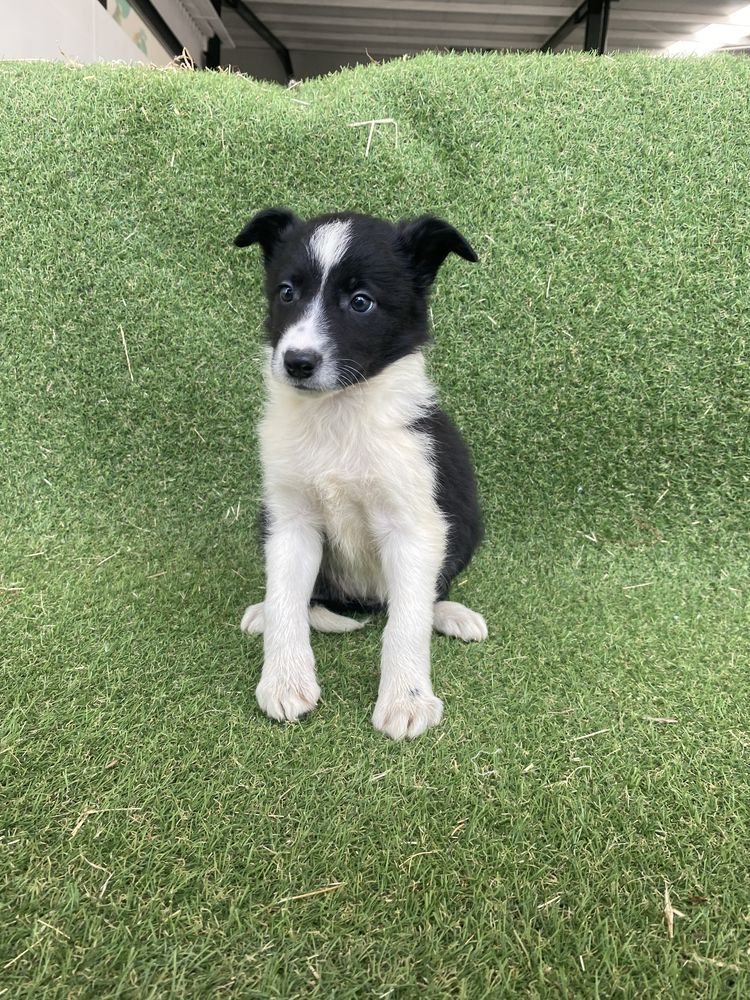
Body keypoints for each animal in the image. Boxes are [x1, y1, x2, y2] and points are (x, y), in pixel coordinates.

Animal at [238, 209, 490, 744]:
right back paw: (262, 612)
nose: (297, 362)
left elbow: (406, 623)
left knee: (425, 596)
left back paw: (451, 614)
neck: (338, 415)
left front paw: (406, 700)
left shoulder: (414, 527)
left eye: (361, 302)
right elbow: (287, 600)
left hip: (463, 526)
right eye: (286, 292)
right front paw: (285, 681)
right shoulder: (290, 522)